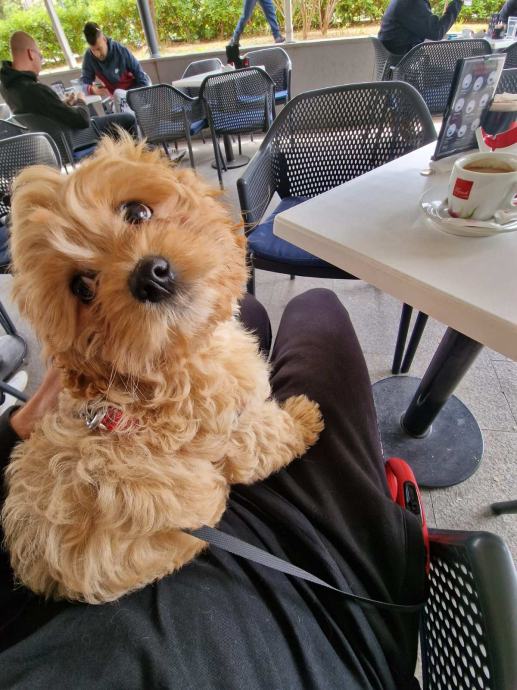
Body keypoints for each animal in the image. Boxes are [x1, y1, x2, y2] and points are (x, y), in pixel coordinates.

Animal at [2, 136, 323, 604]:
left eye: (136, 212)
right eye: (83, 288)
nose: (150, 277)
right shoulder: (229, 431)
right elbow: (265, 437)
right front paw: (302, 418)